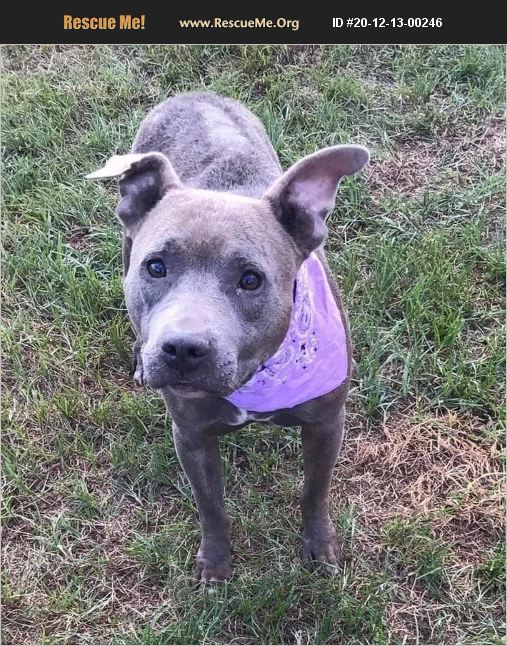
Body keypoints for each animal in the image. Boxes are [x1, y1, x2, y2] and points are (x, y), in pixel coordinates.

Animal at [88, 91, 370, 584]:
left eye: (251, 280)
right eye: (156, 267)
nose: (182, 348)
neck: (256, 377)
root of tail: (193, 93)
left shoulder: (326, 424)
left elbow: (314, 492)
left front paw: (320, 547)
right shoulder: (192, 435)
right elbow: (211, 506)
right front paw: (216, 563)